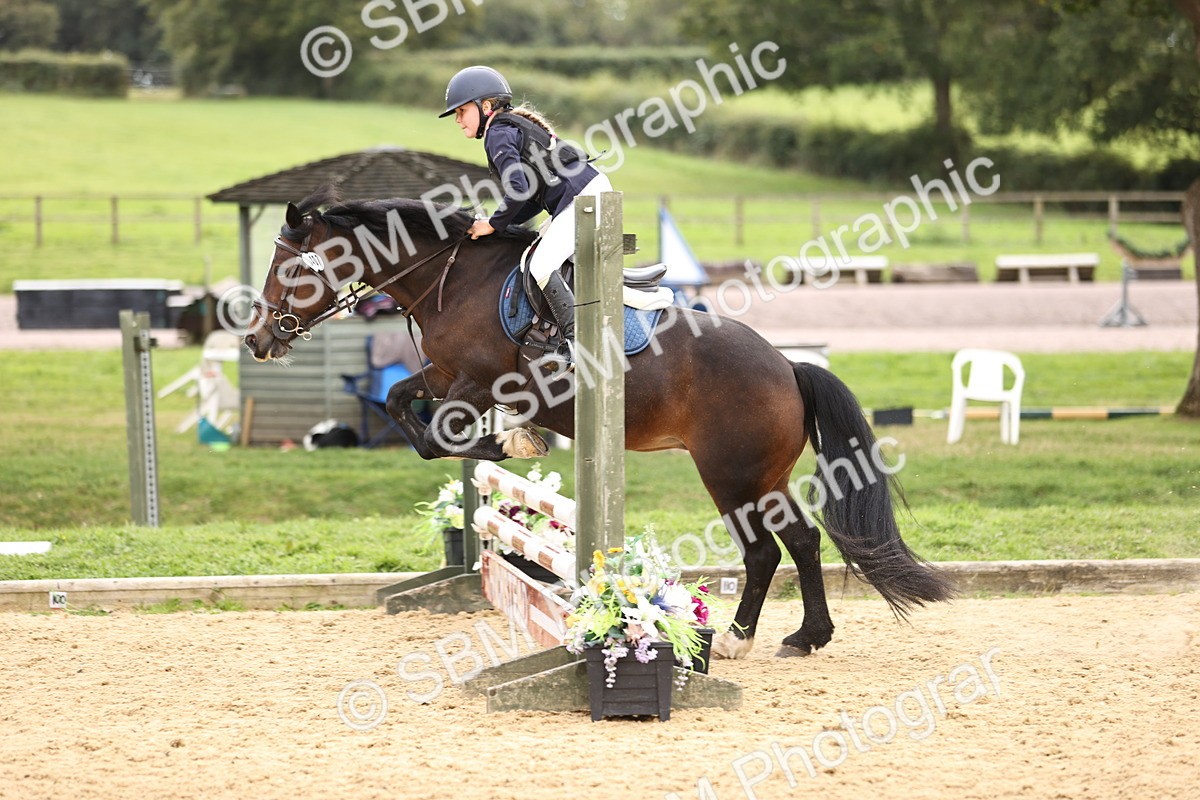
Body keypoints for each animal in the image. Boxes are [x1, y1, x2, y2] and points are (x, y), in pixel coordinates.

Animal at [244, 186, 954, 658]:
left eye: (289, 267)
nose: (257, 341)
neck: (450, 279)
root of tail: (788, 366)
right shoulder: (443, 378)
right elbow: (400, 407)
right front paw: (504, 444)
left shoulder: (475, 383)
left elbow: (444, 435)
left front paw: (506, 443)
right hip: (765, 477)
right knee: (802, 542)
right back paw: (807, 636)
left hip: (730, 475)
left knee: (763, 551)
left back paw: (736, 640)